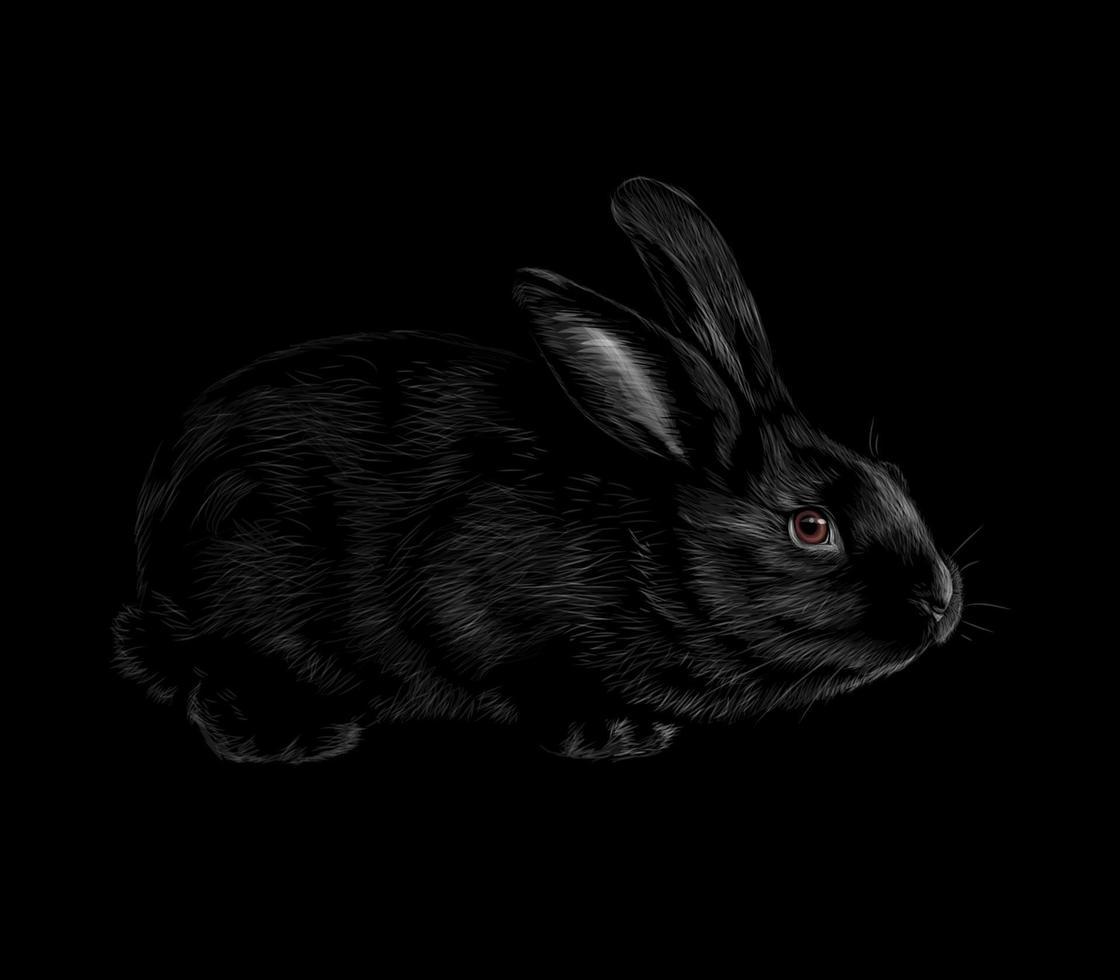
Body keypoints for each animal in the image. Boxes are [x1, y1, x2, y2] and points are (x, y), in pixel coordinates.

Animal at [112, 177, 963, 763]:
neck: (653, 550)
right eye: (811, 526)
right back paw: (295, 736)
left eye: (893, 473)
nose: (939, 603)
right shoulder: (474, 601)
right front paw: (620, 734)